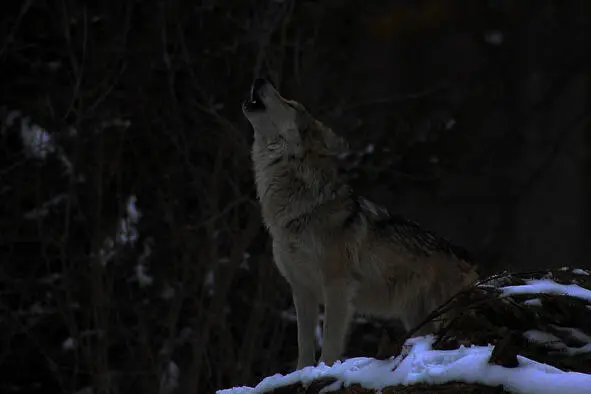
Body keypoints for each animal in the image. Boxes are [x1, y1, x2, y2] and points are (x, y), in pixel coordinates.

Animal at [243, 77, 478, 370]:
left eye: (290, 103)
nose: (260, 79)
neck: (300, 211)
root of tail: (470, 262)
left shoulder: (338, 286)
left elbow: (330, 342)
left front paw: (325, 370)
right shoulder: (302, 290)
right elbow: (304, 345)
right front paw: (301, 373)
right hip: (417, 320)